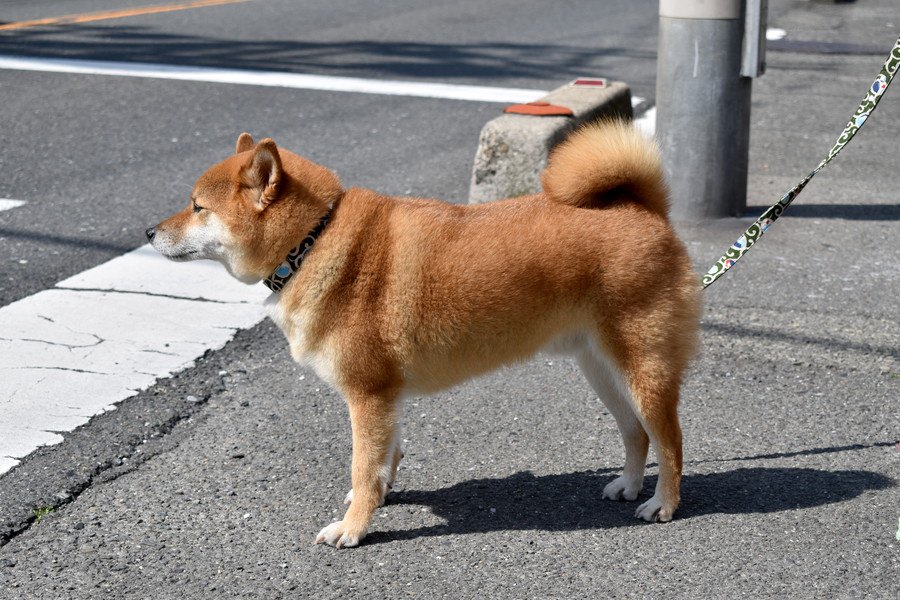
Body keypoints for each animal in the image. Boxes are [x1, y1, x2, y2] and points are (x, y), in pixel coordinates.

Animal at [144, 122, 700, 548]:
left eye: (197, 207)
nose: (148, 232)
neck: (313, 240)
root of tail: (645, 211)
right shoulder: (384, 397)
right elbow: (383, 460)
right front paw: (377, 496)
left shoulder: (367, 395)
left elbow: (362, 465)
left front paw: (353, 528)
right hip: (602, 371)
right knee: (636, 434)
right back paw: (629, 486)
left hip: (643, 370)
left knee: (670, 440)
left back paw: (662, 503)